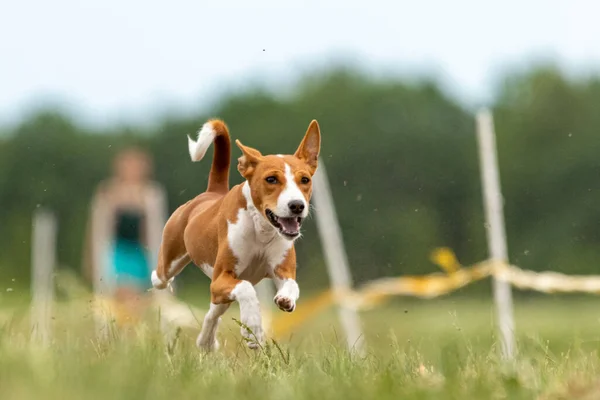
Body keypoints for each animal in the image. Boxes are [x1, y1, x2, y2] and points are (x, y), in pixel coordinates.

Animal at [152, 118, 322, 350]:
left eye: (304, 180)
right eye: (271, 179)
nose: (296, 205)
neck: (261, 230)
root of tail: (212, 192)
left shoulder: (281, 270)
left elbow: (292, 285)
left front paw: (286, 299)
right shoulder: (221, 278)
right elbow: (246, 288)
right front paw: (252, 329)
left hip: (219, 295)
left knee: (212, 313)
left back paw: (206, 342)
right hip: (172, 263)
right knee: (159, 277)